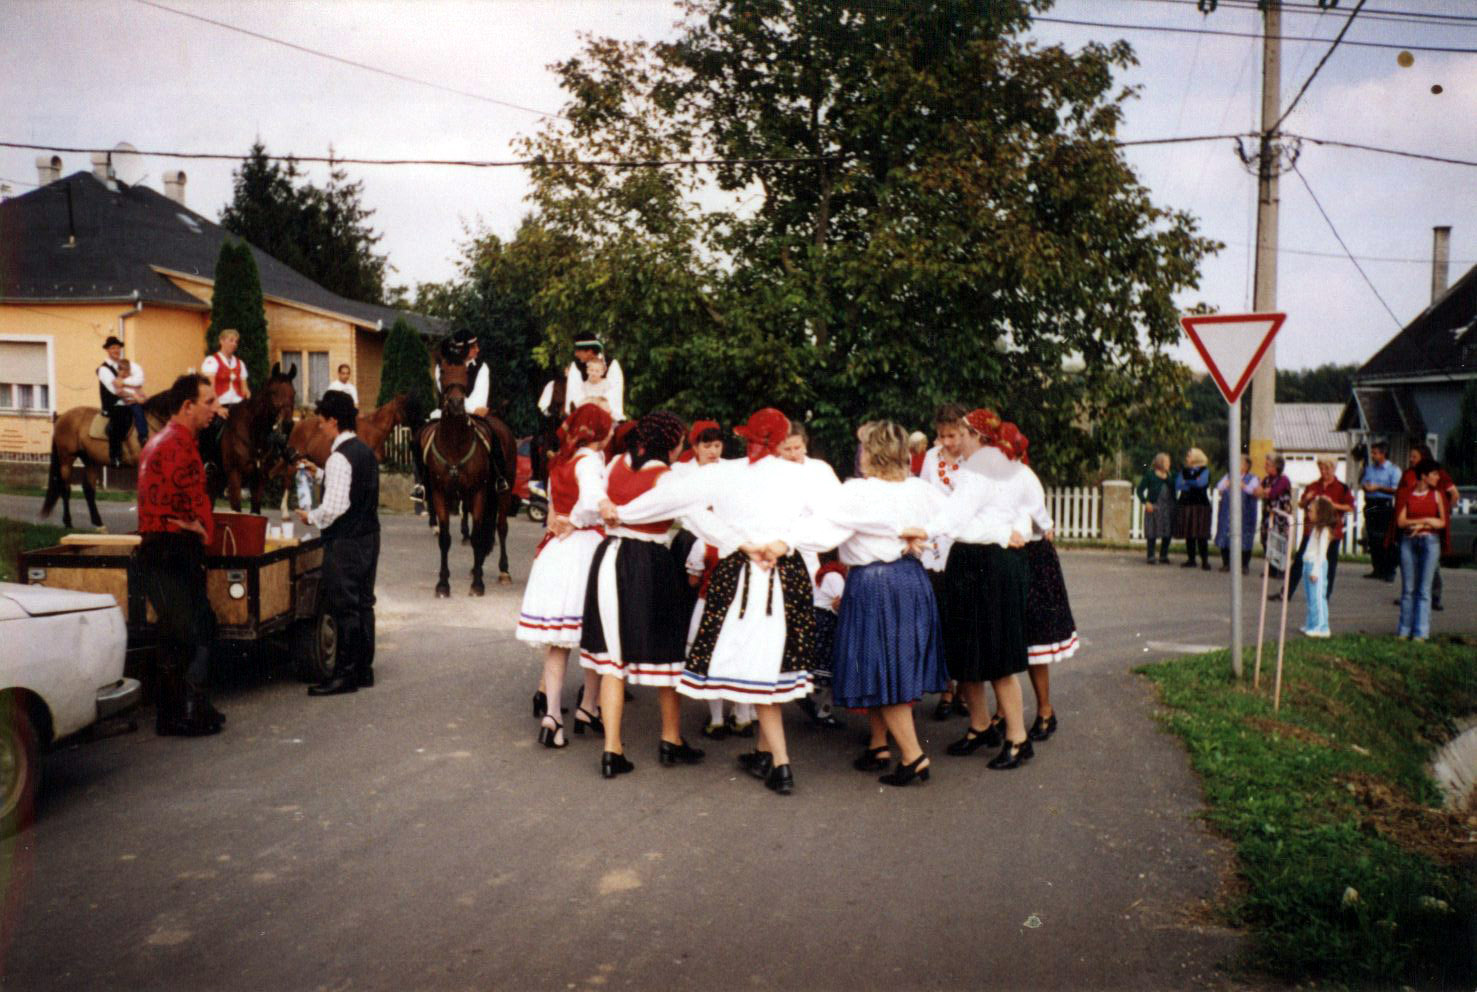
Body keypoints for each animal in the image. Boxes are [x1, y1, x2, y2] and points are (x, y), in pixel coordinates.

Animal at [41, 392, 173, 530]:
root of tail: (61, 417)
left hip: (90, 461)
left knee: (88, 489)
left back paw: (98, 523)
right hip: (67, 459)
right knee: (65, 489)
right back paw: (68, 522)